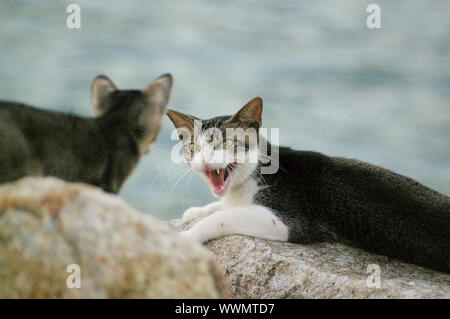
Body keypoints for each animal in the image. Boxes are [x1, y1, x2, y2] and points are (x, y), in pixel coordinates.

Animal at [168, 97, 450, 272]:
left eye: (225, 143)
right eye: (193, 147)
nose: (204, 159)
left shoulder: (290, 222)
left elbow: (223, 218)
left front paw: (186, 236)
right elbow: (223, 207)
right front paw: (196, 211)